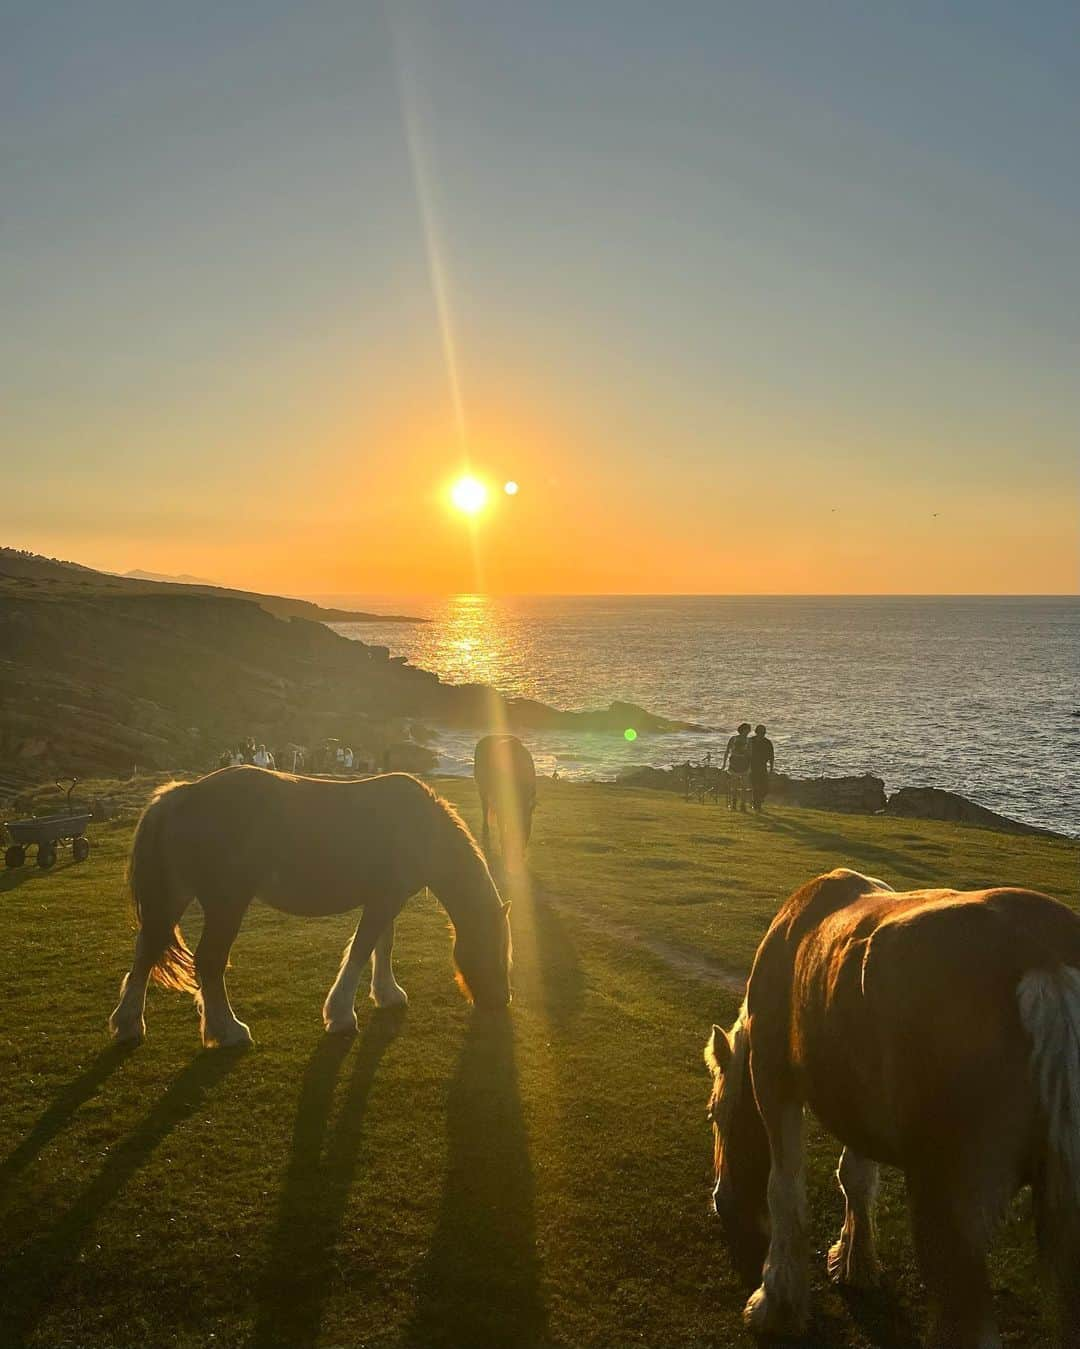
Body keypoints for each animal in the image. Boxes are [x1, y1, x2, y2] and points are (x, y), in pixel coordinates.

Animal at [109, 771, 509, 1041]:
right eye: (494, 949)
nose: (501, 1001)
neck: (420, 829)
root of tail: (179, 795)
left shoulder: (387, 898)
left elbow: (383, 945)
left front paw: (388, 994)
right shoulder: (382, 900)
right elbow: (361, 950)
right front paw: (341, 1016)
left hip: (174, 896)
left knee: (147, 950)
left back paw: (129, 1023)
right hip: (227, 903)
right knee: (208, 960)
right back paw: (228, 1031)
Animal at [706, 868, 1078, 1343]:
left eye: (716, 1116)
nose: (722, 1201)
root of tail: (1042, 956)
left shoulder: (774, 1082)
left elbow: (784, 1191)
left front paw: (776, 1302)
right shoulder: (854, 1105)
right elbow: (856, 1179)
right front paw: (856, 1262)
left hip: (950, 1214)